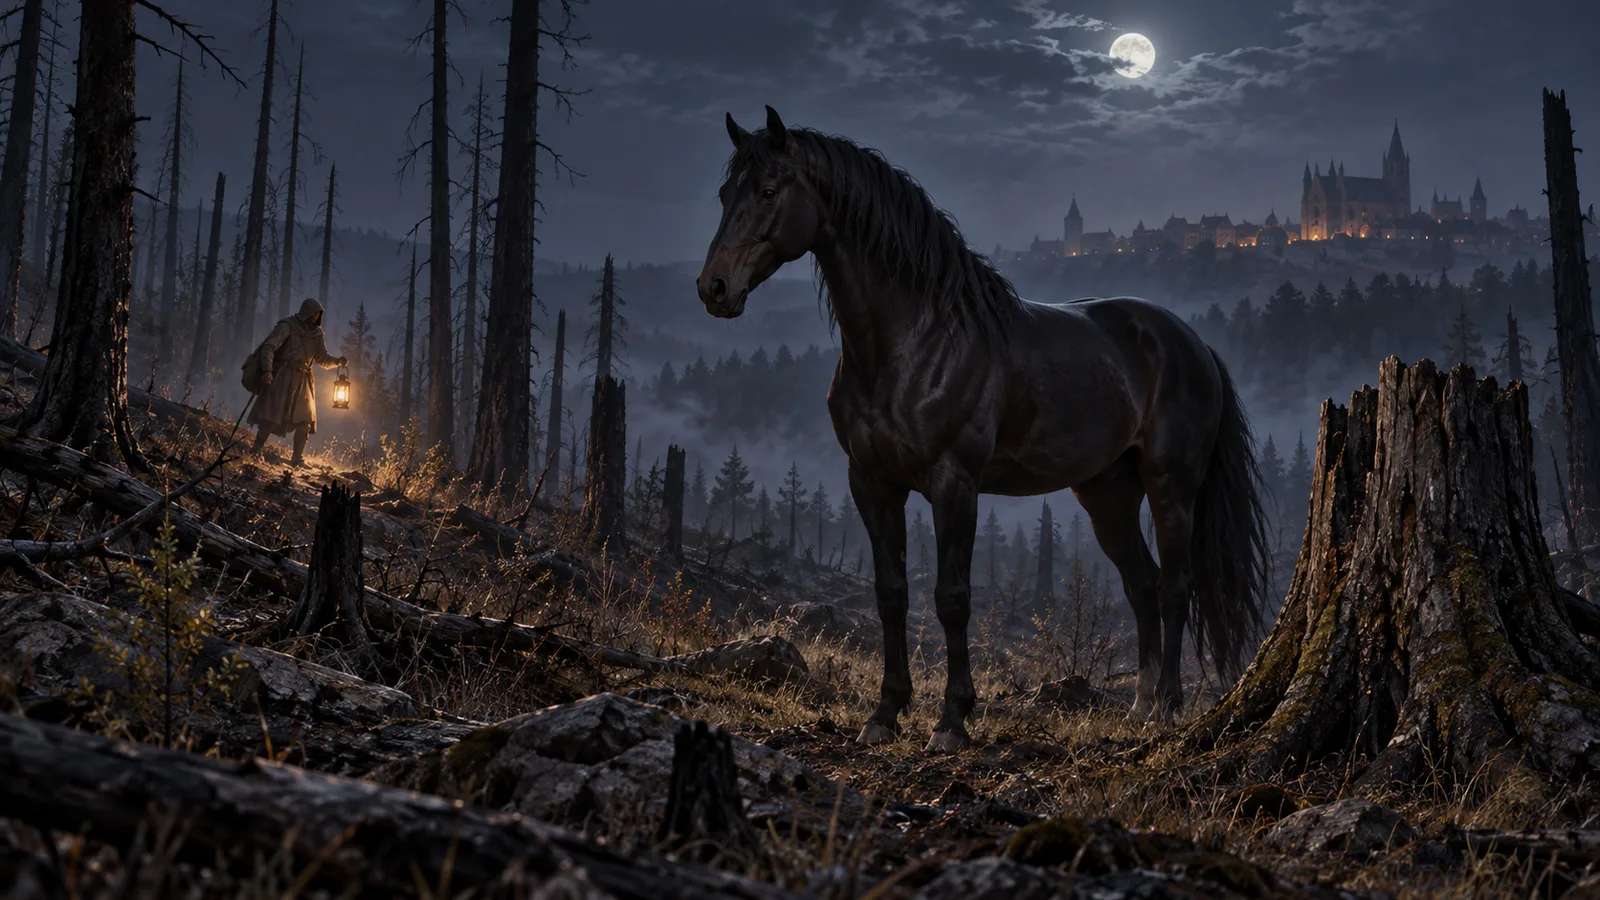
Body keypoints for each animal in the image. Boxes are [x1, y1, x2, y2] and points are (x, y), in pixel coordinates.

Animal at [695, 106, 1269, 752]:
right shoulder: (870, 482)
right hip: (1107, 493)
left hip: (1171, 484)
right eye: (725, 194)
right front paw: (885, 713)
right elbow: (891, 594)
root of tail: (1191, 343)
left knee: (1174, 585)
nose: (715, 288)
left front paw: (952, 720)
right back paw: (1141, 707)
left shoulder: (954, 485)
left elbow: (952, 599)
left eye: (769, 190)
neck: (914, 342)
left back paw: (1167, 707)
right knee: (1142, 584)